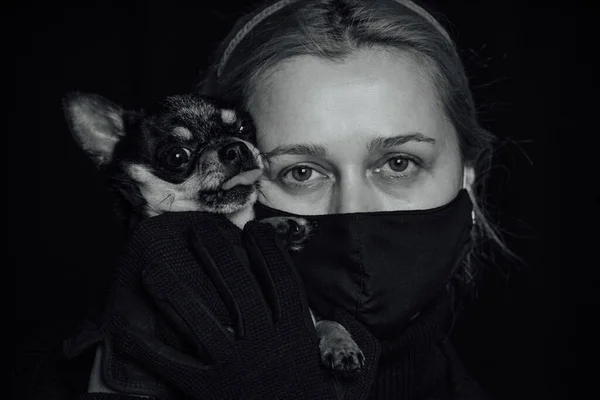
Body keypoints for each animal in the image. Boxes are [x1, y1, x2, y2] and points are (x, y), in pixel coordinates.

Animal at [61, 93, 364, 376]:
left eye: (243, 127)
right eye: (176, 156)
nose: (235, 148)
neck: (230, 223)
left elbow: (326, 321)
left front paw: (340, 345)